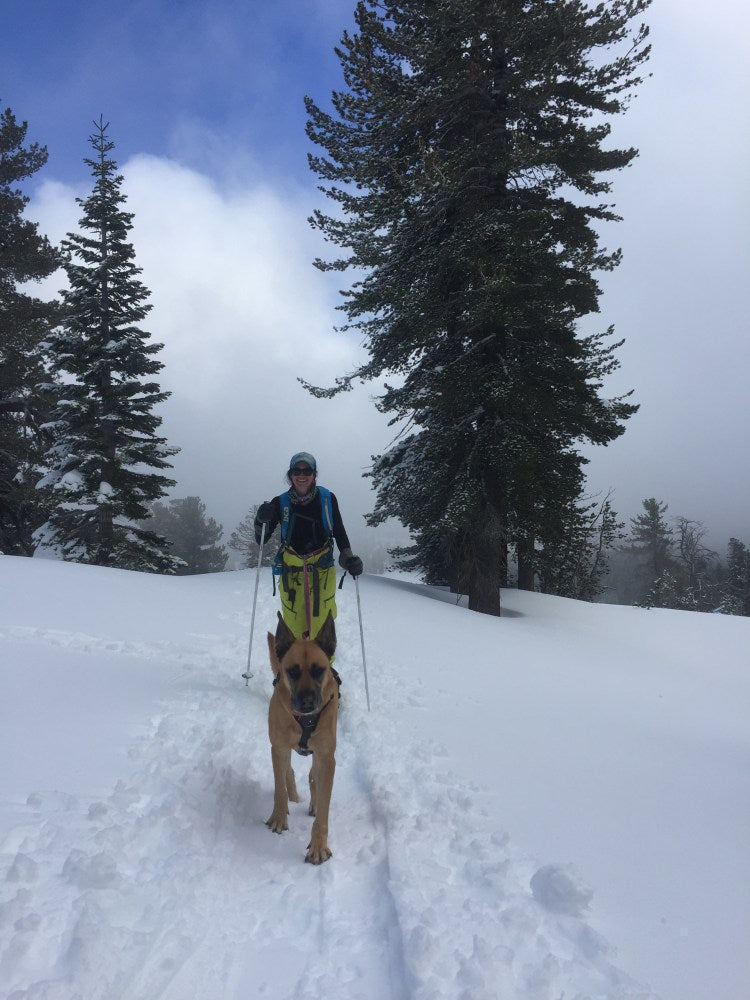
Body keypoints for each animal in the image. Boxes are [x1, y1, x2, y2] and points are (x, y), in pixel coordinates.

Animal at [268, 612, 340, 864]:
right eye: (292, 671)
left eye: (319, 670)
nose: (308, 701)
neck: (305, 720)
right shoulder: (278, 747)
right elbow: (279, 788)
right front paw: (279, 817)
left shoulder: (327, 758)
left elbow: (324, 806)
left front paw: (318, 846)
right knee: (288, 772)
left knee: (312, 777)